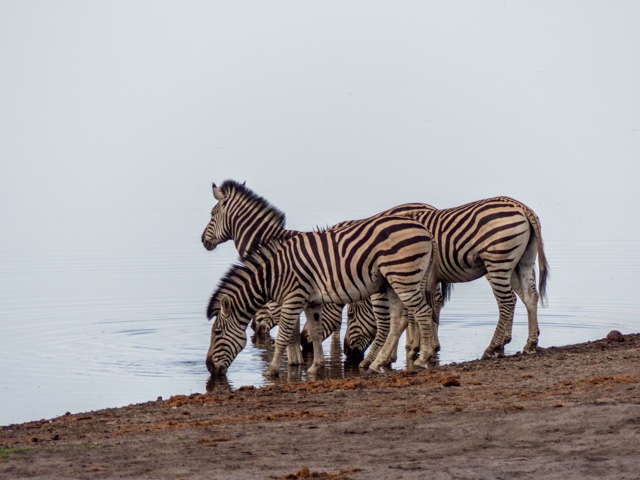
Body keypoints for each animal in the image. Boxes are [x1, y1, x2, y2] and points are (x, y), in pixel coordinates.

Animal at [206, 214, 438, 377]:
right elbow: (315, 333)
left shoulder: (292, 299)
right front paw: (315, 367)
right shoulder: (312, 302)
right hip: (392, 282)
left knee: (423, 313)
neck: (274, 275)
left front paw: (272, 370)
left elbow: (282, 338)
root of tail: (425, 229)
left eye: (217, 333)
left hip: (403, 277)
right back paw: (376, 364)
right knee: (398, 321)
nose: (208, 367)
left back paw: (421, 359)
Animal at [343, 197, 549, 364]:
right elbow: (423, 311)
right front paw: (422, 348)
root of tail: (520, 206)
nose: (347, 353)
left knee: (507, 301)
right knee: (530, 296)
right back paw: (530, 343)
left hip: (498, 261)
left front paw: (412, 350)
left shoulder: (410, 277)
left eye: (350, 315)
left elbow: (413, 314)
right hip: (522, 262)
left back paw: (492, 347)